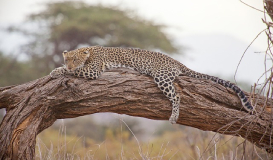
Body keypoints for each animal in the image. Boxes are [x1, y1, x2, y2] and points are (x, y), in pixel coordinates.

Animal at [50, 45, 254, 124]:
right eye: (67, 59)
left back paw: (173, 117)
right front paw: (57, 69)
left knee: (176, 95)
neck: (89, 52)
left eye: (75, 60)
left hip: (161, 77)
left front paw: (57, 71)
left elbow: (74, 72)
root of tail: (176, 61)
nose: (69, 63)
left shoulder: (93, 70)